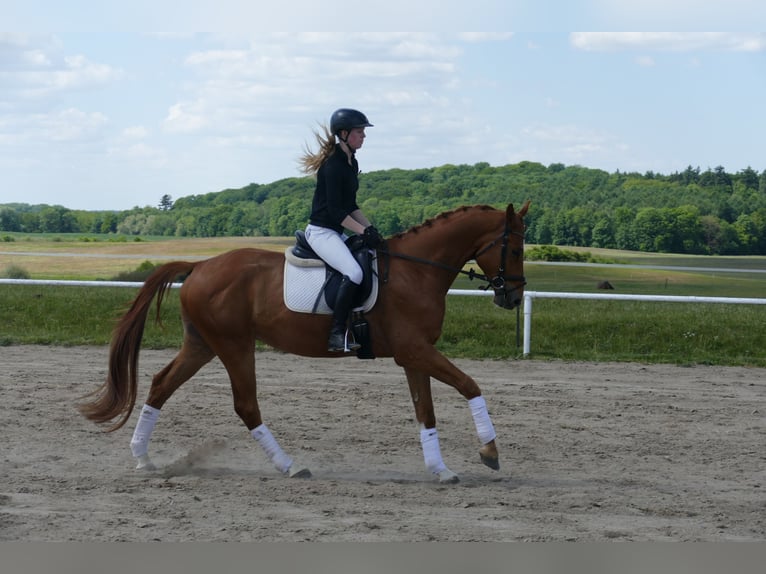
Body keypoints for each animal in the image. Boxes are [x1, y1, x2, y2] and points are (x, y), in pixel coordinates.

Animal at [79, 201, 529, 484]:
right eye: (515, 249)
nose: (512, 297)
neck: (417, 271)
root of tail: (202, 264)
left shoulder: (413, 356)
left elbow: (426, 413)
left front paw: (441, 470)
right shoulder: (415, 350)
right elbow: (470, 385)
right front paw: (490, 453)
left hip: (202, 345)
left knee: (161, 385)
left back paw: (144, 459)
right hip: (234, 344)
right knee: (245, 404)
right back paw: (290, 466)